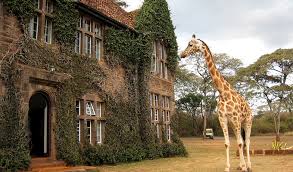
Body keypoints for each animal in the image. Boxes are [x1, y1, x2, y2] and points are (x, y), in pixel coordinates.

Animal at [179, 34, 252, 171]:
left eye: (190, 44)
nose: (182, 54)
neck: (223, 92)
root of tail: (250, 108)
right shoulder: (223, 118)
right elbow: (227, 143)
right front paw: (228, 167)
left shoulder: (235, 118)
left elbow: (241, 143)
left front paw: (245, 167)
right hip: (235, 124)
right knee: (241, 141)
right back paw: (241, 165)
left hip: (247, 121)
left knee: (247, 141)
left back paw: (249, 166)